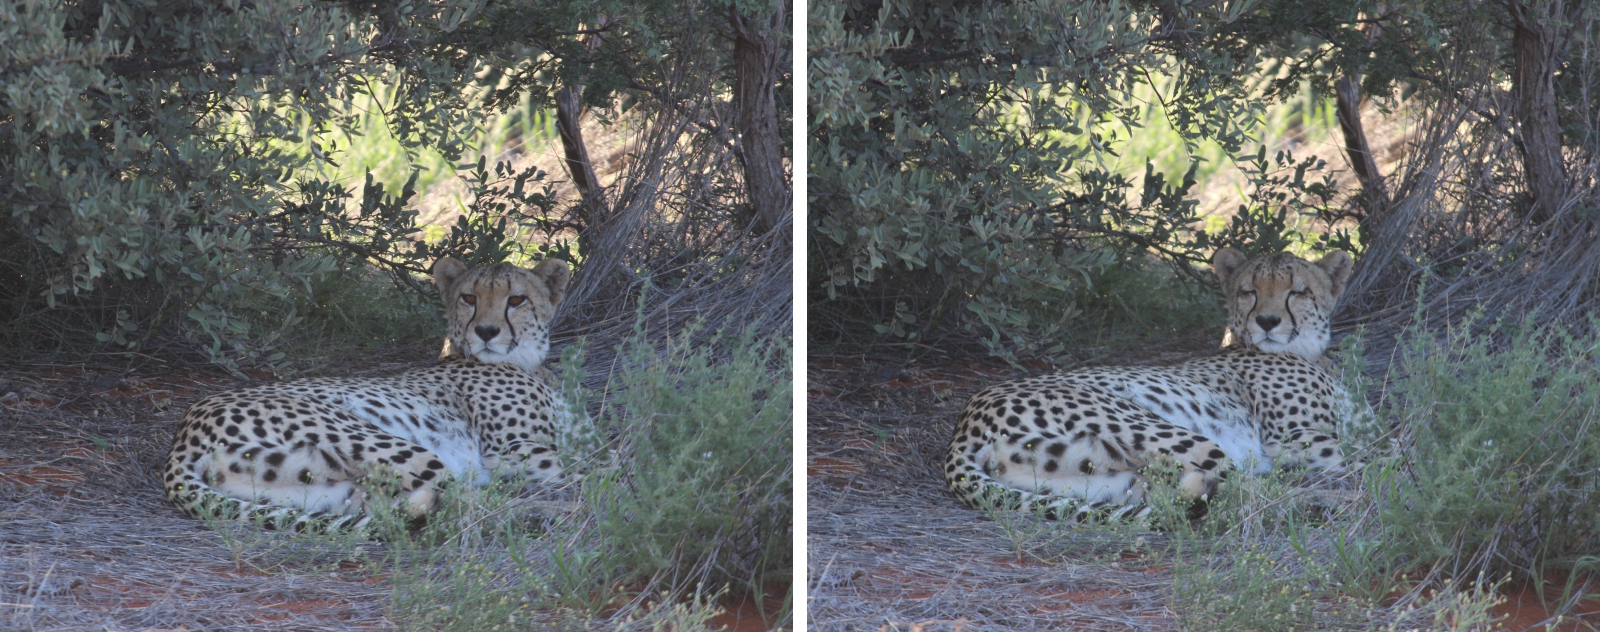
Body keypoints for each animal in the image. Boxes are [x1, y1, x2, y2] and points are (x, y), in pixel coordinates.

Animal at [162, 257, 572, 531]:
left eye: (516, 300)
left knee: (390, 508)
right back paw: (551, 513)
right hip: (387, 441)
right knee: (463, 504)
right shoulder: (512, 449)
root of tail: (184, 431)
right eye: (469, 298)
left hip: (324, 488)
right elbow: (583, 464)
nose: (486, 331)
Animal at [940, 248, 1356, 518]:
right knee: (1245, 496)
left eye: (1298, 291)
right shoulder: (1292, 439)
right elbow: (1366, 454)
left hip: (1106, 479)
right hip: (1164, 429)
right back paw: (1324, 503)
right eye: (1248, 291)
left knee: (1171, 497)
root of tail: (965, 423)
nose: (1267, 321)